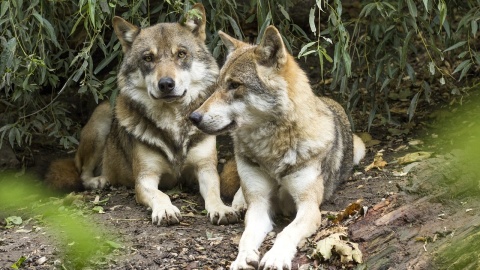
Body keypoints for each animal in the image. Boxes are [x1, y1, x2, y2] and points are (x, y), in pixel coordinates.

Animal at [46, 4, 239, 227]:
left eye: (181, 54)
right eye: (148, 58)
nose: (166, 84)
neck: (172, 121)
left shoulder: (206, 170)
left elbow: (214, 193)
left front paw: (221, 209)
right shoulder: (145, 178)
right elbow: (160, 195)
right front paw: (165, 210)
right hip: (101, 121)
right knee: (83, 172)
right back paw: (99, 180)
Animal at [189, 24, 366, 268]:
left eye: (234, 85)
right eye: (217, 86)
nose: (193, 117)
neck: (272, 151)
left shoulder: (309, 207)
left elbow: (286, 232)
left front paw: (275, 256)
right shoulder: (260, 205)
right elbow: (246, 237)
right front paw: (242, 259)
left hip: (360, 148)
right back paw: (238, 203)